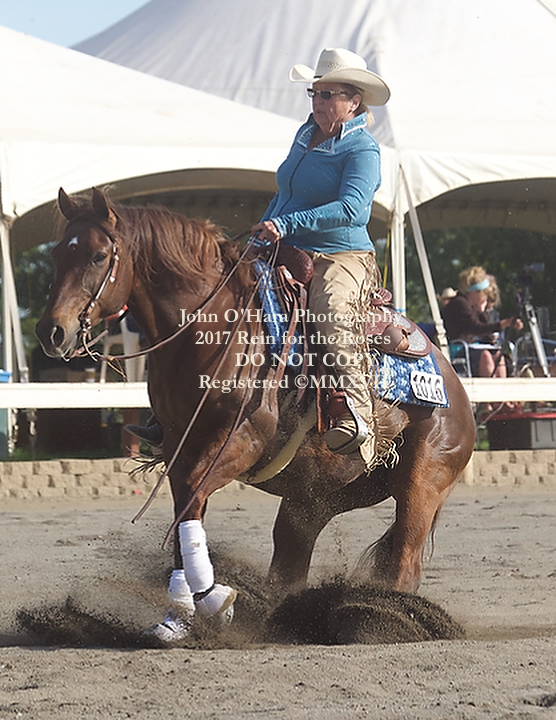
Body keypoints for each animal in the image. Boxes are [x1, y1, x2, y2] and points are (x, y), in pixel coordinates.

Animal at [36, 187, 475, 643]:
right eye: (58, 253)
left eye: (98, 255)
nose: (52, 332)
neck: (209, 327)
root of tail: (455, 386)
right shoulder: (178, 446)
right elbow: (184, 512)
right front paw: (180, 615)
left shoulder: (240, 441)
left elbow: (191, 500)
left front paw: (212, 599)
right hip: (314, 500)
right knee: (292, 561)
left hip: (422, 485)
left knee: (404, 562)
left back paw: (384, 619)